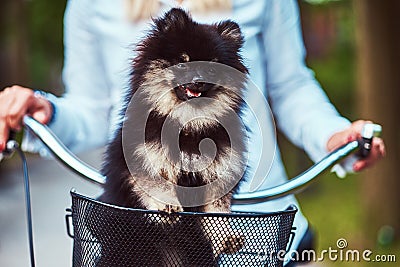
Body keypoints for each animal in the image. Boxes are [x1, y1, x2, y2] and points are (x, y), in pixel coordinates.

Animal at [98, 7, 247, 266]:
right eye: (183, 63)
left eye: (211, 69)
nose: (198, 80)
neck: (188, 125)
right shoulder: (145, 160)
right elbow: (157, 185)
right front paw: (167, 206)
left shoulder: (216, 173)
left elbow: (217, 210)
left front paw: (225, 237)